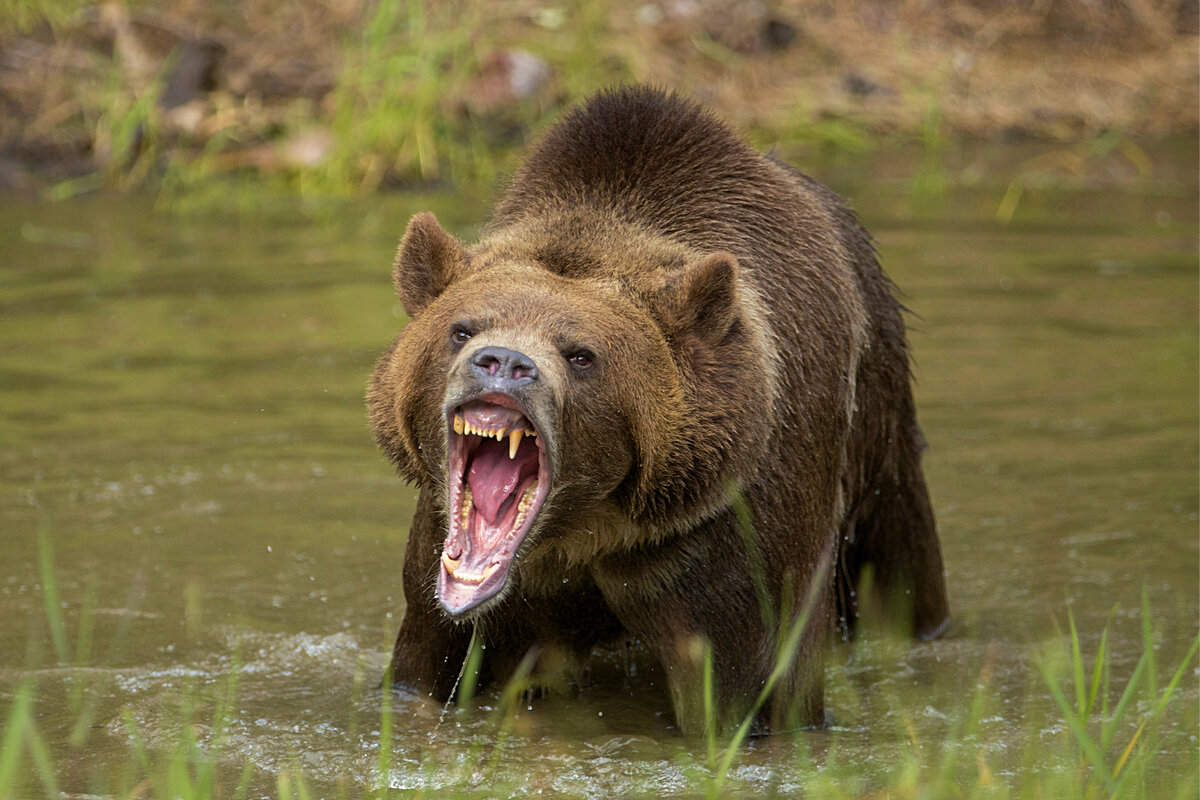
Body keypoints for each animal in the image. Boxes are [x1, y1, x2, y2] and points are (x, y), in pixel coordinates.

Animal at [369, 86, 950, 734]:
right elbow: (426, 662)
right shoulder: (450, 567)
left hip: (877, 423)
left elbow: (751, 686)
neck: (585, 527)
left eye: (581, 354)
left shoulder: (723, 535)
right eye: (462, 328)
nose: (503, 362)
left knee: (898, 564)